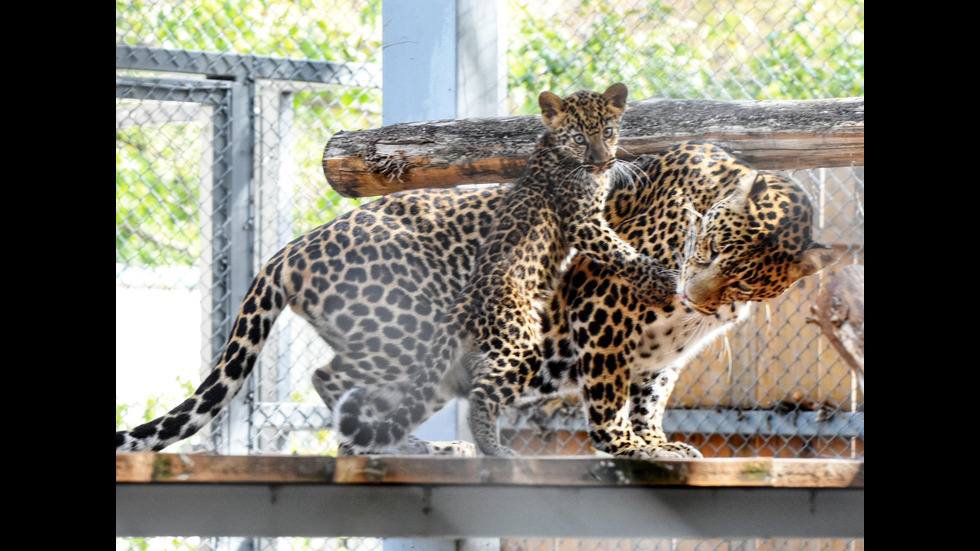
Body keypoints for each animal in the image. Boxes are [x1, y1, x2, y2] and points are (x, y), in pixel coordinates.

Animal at [115, 137, 836, 458]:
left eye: (744, 278)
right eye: (710, 246)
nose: (690, 290)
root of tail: (294, 246)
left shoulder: (667, 355)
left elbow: (651, 394)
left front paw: (659, 444)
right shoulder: (603, 306)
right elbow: (610, 396)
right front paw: (626, 447)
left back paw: (412, 446)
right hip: (409, 330)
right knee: (332, 377)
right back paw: (393, 446)